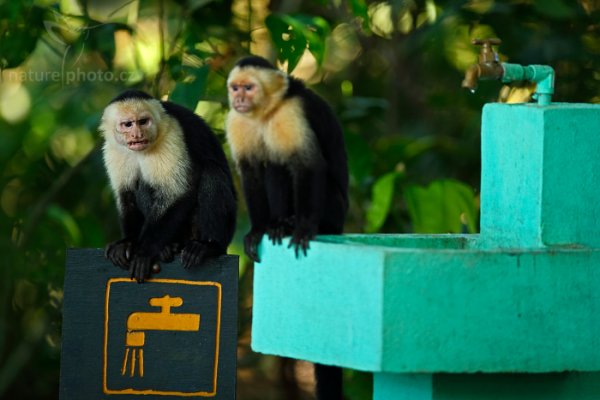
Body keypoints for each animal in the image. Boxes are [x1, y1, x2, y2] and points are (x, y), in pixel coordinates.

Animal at [100, 90, 237, 284]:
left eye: (143, 121)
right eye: (127, 124)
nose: (137, 134)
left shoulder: (172, 133)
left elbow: (179, 192)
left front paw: (144, 251)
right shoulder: (113, 149)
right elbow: (126, 195)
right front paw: (128, 243)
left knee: (212, 172)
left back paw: (208, 246)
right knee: (140, 183)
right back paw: (168, 247)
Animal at [225, 56, 346, 400]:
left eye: (248, 88)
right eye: (235, 88)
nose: (238, 99)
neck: (265, 111)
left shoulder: (292, 113)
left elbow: (309, 165)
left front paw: (303, 229)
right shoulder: (236, 121)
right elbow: (251, 171)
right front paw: (257, 230)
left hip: (336, 208)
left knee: (292, 164)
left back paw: (299, 223)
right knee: (274, 165)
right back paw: (278, 224)